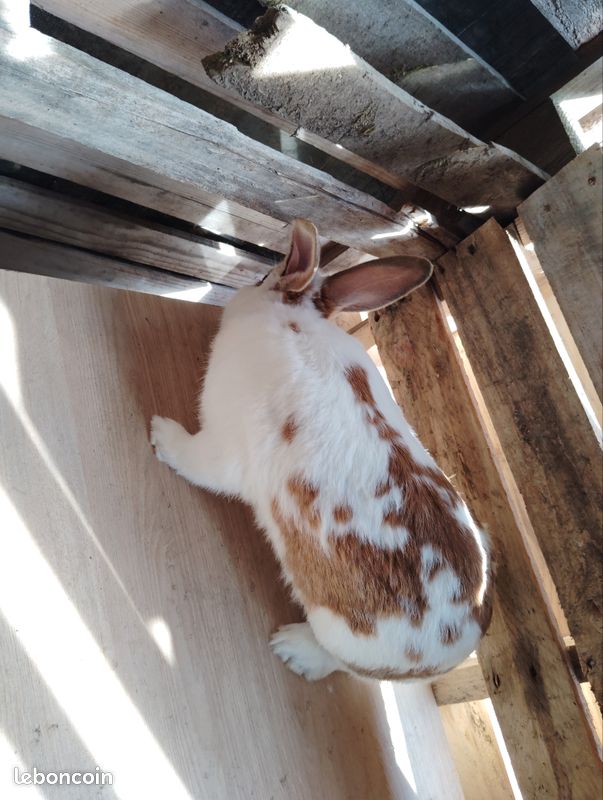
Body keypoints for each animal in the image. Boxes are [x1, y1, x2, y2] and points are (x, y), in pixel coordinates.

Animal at [150, 218, 493, 682]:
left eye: (263, 276)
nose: (243, 284)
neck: (295, 320)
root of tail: (467, 637)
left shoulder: (225, 445)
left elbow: (195, 460)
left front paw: (160, 434)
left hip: (341, 638)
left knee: (343, 666)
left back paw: (293, 650)